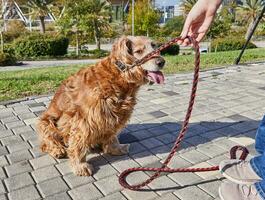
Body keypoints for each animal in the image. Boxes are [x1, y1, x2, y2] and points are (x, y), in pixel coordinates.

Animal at [37, 35, 165, 175]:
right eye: (139, 51)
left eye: (154, 46)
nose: (162, 62)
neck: (118, 76)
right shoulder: (85, 120)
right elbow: (78, 144)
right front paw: (80, 165)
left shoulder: (113, 115)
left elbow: (112, 135)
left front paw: (115, 148)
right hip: (46, 122)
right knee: (45, 144)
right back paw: (57, 150)